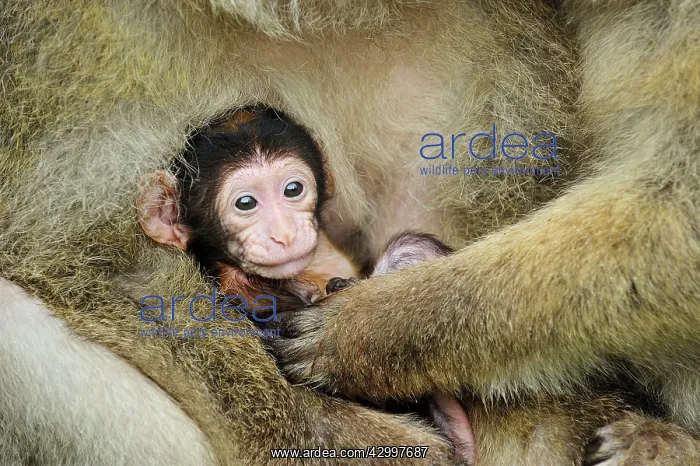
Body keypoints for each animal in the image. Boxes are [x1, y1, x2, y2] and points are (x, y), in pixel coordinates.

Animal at [1, 0, 699, 465]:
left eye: (293, 191)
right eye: (245, 203)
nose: (283, 234)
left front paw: (373, 330)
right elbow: (80, 251)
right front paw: (338, 433)